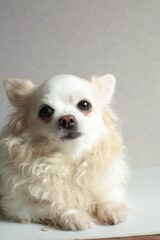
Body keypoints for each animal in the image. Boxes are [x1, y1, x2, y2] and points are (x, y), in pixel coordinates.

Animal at [0, 74, 128, 230]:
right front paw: (75, 216)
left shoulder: (108, 183)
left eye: (84, 105)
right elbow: (53, 204)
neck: (70, 157)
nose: (67, 119)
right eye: (45, 111)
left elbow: (108, 194)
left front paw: (113, 208)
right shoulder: (17, 205)